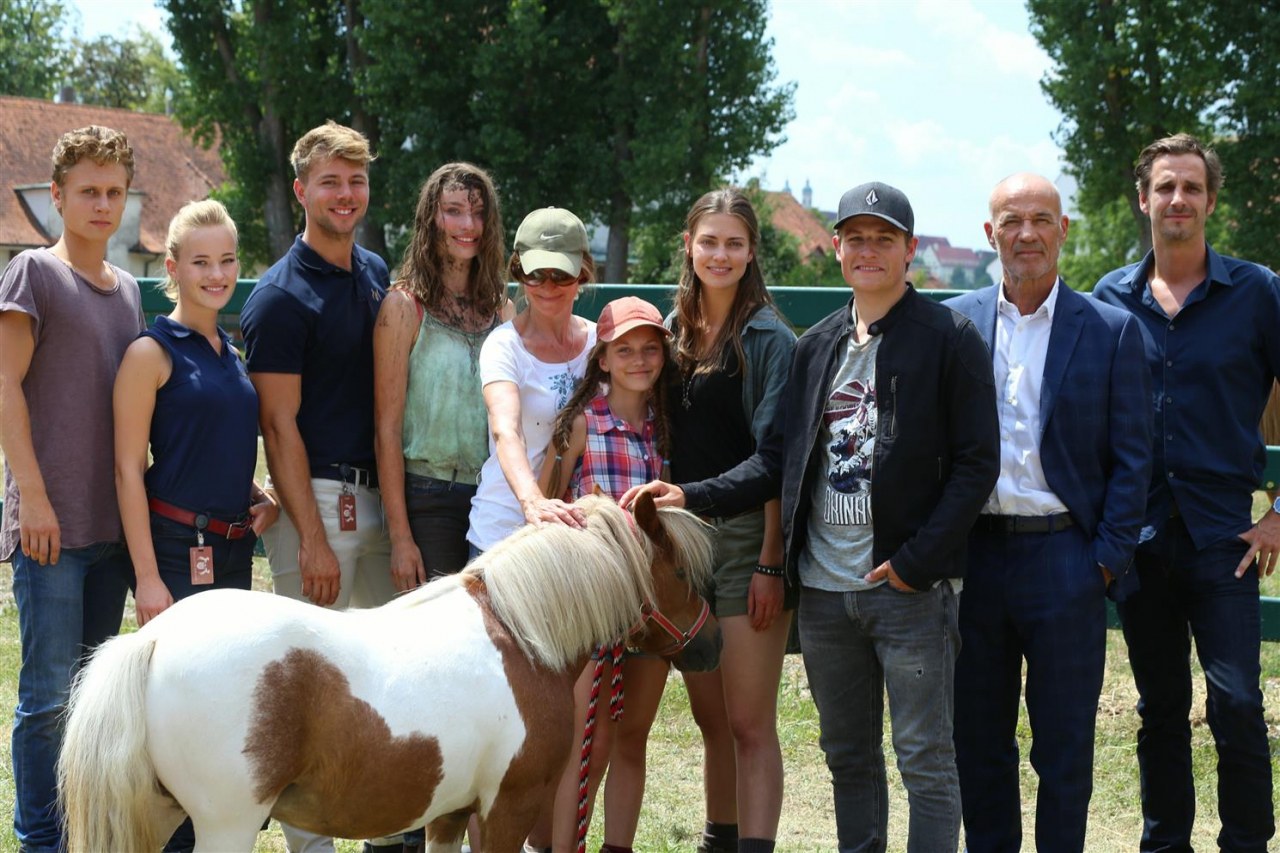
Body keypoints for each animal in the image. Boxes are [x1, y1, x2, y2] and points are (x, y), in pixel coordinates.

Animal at [57, 491, 721, 850]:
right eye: (680, 573)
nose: (712, 644)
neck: (521, 633)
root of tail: (152, 640)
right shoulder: (507, 808)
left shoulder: (449, 814)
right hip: (225, 826)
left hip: (156, 814)